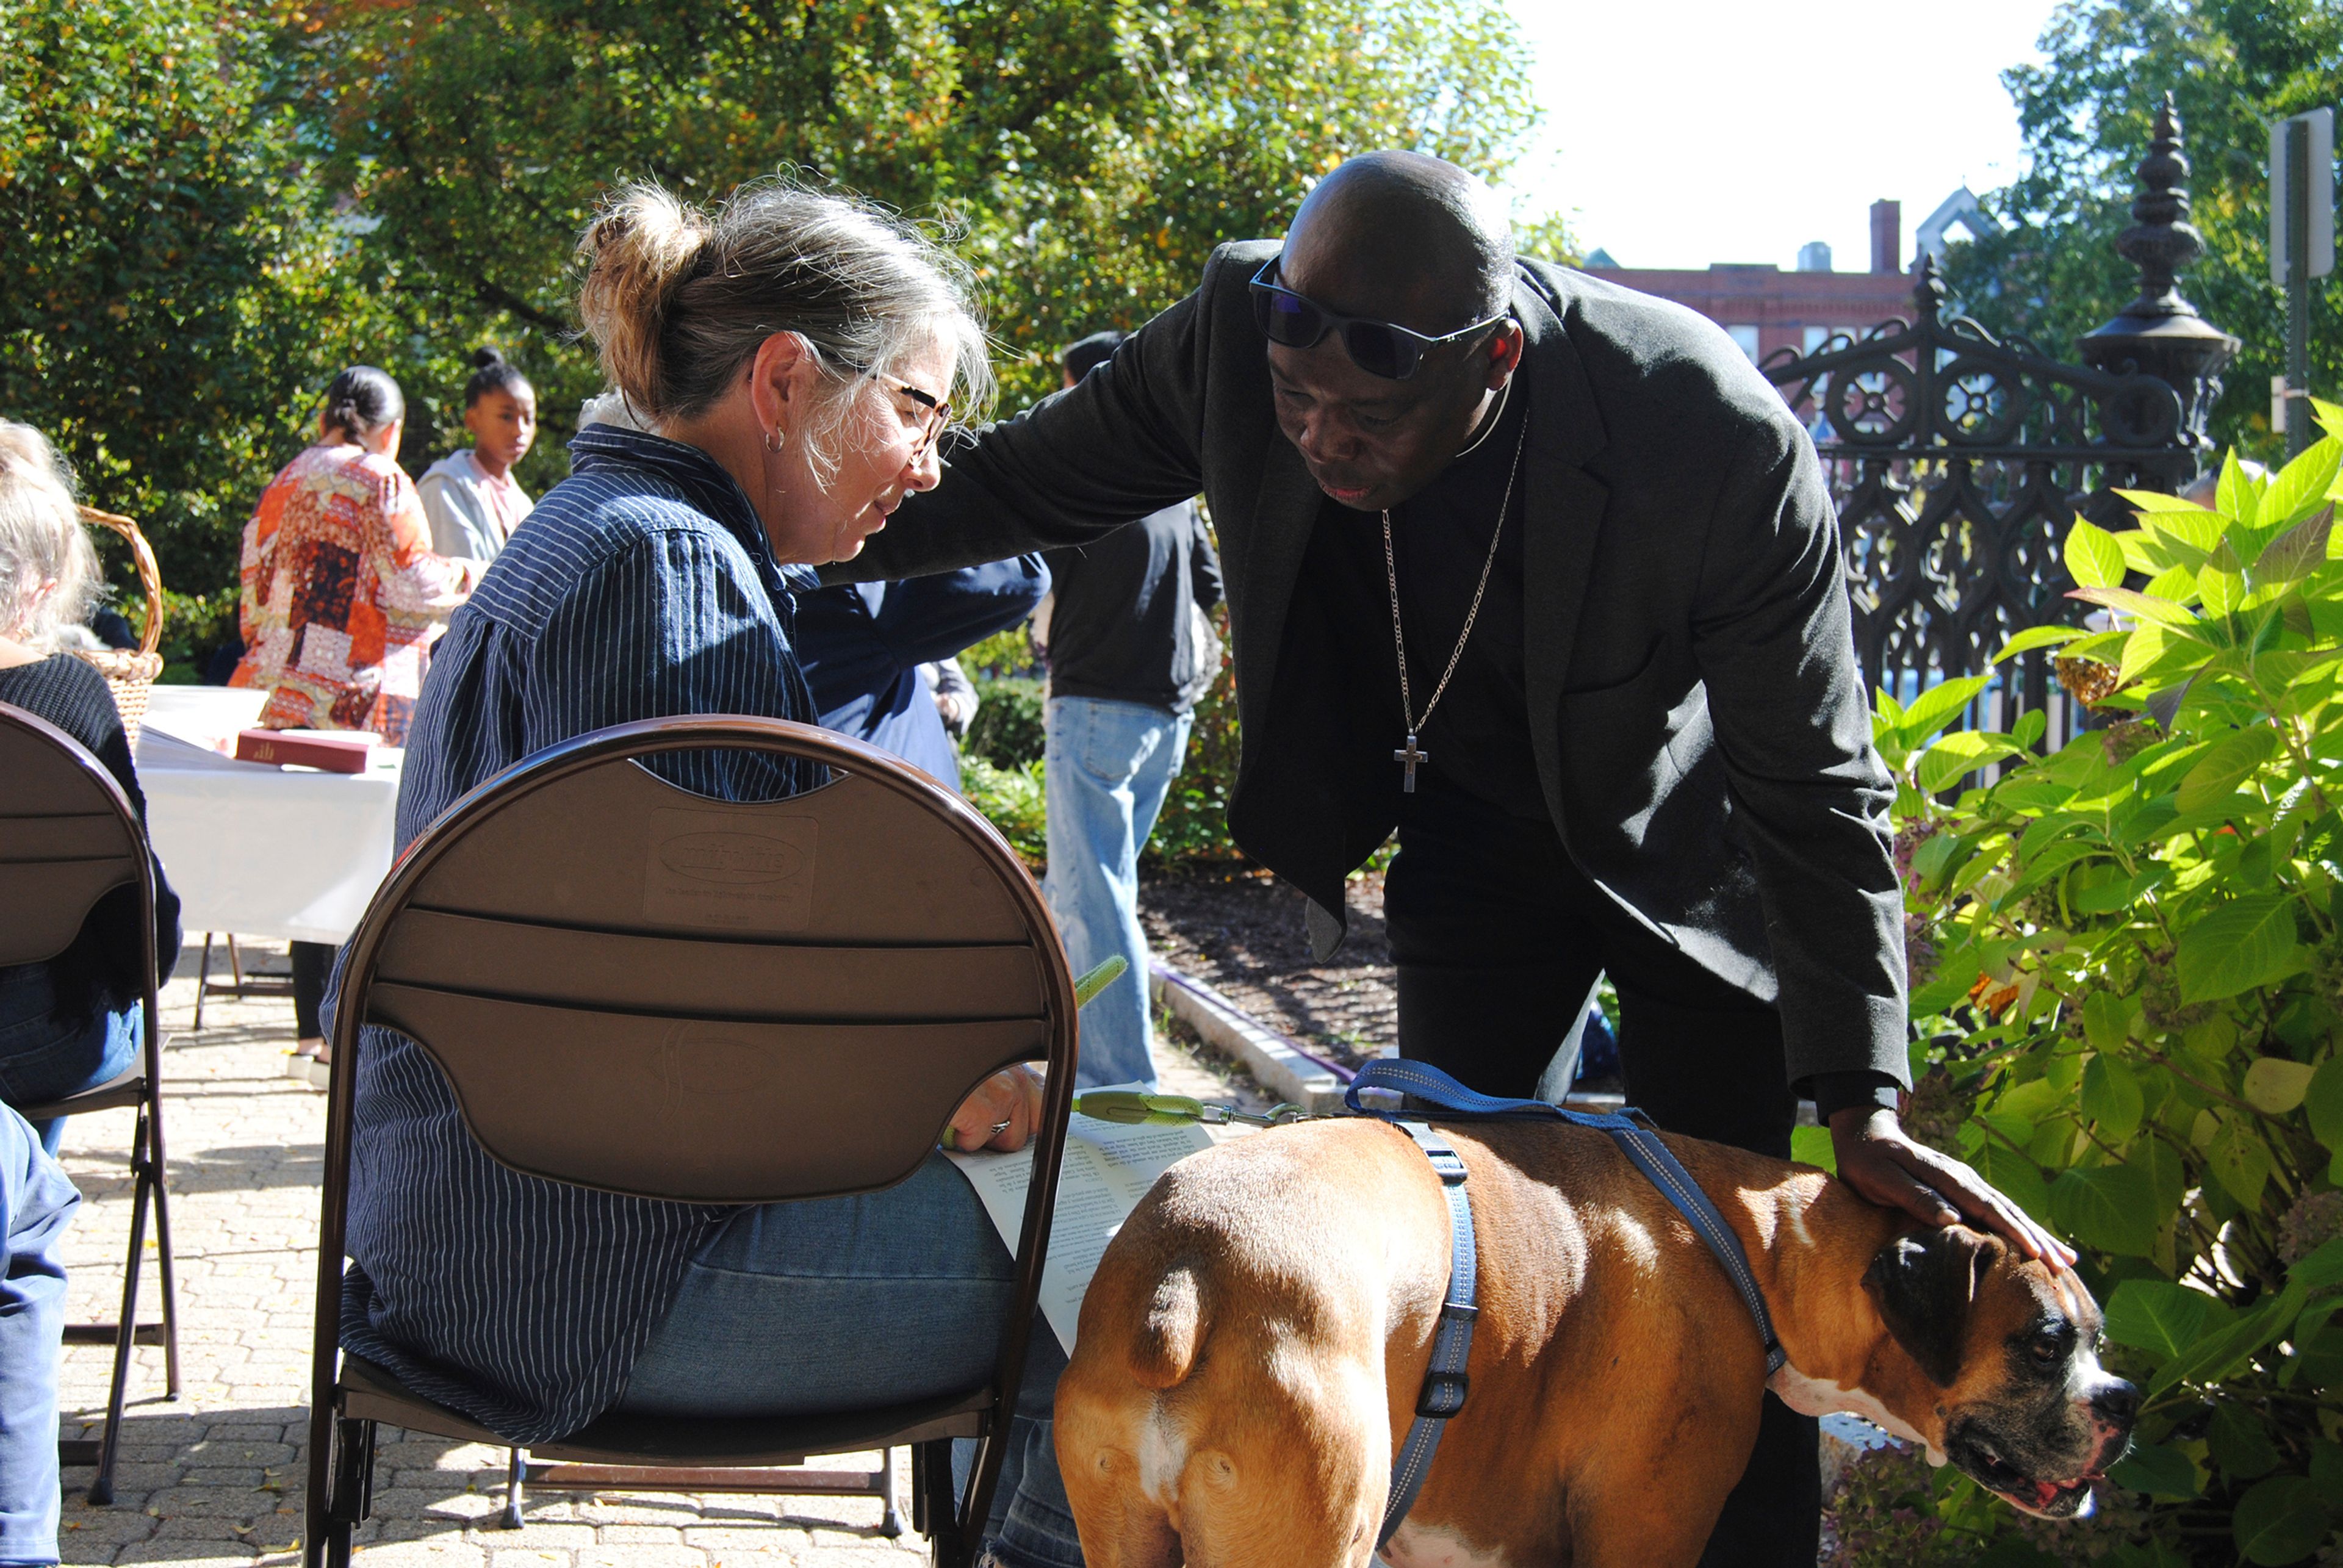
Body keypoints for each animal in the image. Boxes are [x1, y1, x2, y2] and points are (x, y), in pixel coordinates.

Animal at [1064, 1110, 2146, 1566]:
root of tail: (1190, 1273)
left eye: (2098, 1337)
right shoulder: (1643, 1536)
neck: (1758, 1245)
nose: (2125, 1402)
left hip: (1127, 1535)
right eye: (2047, 1341)